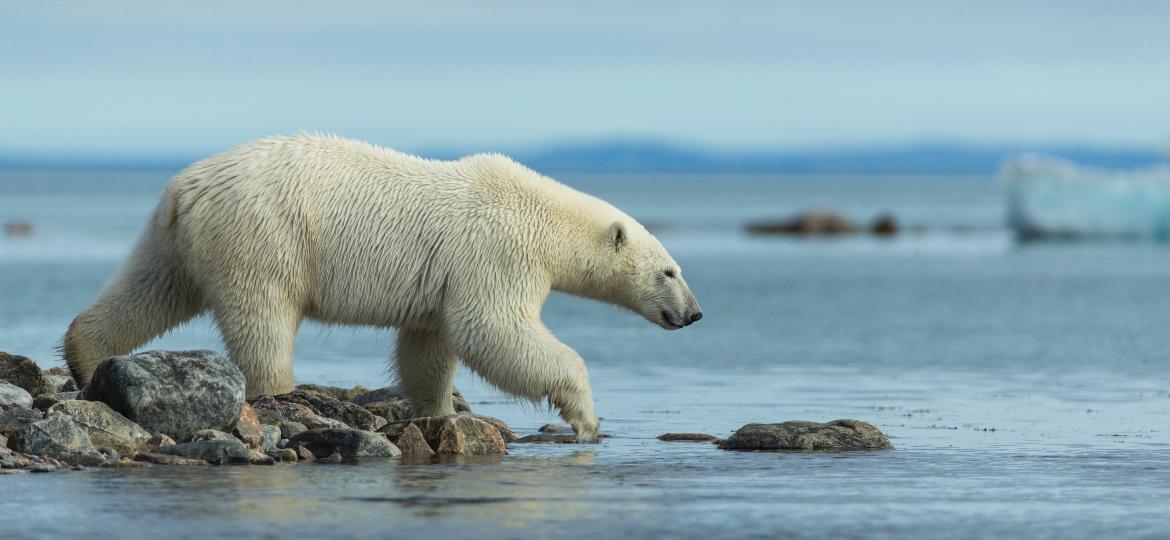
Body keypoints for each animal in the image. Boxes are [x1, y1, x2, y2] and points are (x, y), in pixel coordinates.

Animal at [59, 132, 702, 441]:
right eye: (670, 271)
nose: (694, 314)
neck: (543, 217)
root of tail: (186, 188)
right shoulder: (495, 252)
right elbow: (493, 329)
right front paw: (586, 418)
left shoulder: (444, 277)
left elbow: (430, 343)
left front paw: (438, 411)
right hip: (265, 234)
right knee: (263, 315)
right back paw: (281, 394)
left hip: (180, 237)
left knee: (152, 288)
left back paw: (85, 355)